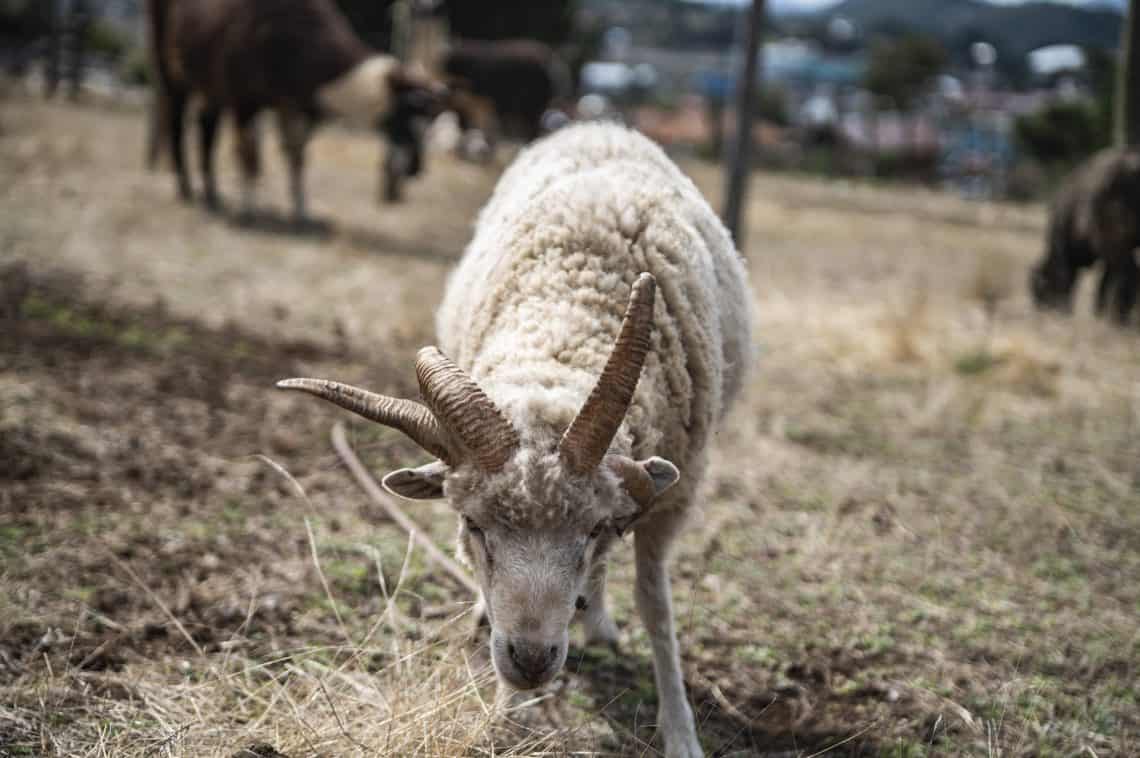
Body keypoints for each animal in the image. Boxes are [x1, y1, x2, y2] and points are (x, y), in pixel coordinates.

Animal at [146, 0, 445, 221]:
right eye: (409, 113)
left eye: (429, 123)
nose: (416, 168)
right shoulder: (245, 98)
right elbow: (249, 155)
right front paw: (249, 208)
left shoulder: (292, 104)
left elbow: (297, 157)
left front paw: (301, 211)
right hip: (169, 63)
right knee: (176, 118)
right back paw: (185, 189)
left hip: (211, 82)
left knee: (206, 124)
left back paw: (212, 194)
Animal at [278, 122, 754, 758]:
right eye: (473, 525)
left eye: (592, 527)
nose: (530, 661)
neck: (566, 320)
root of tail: (597, 125)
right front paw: (507, 713)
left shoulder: (675, 493)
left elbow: (656, 606)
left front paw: (679, 730)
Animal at [1030, 147, 1140, 323]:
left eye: (1039, 290)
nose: (1041, 310)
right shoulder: (1108, 257)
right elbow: (1104, 282)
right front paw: (1098, 313)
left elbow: (1067, 277)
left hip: (1117, 247)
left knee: (1130, 274)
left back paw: (1120, 319)